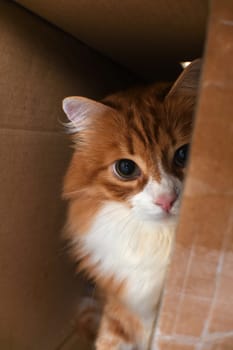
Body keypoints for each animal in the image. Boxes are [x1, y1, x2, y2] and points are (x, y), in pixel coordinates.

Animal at [61, 60, 200, 350]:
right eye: (126, 168)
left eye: (184, 154)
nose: (166, 199)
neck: (160, 239)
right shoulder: (120, 309)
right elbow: (110, 340)